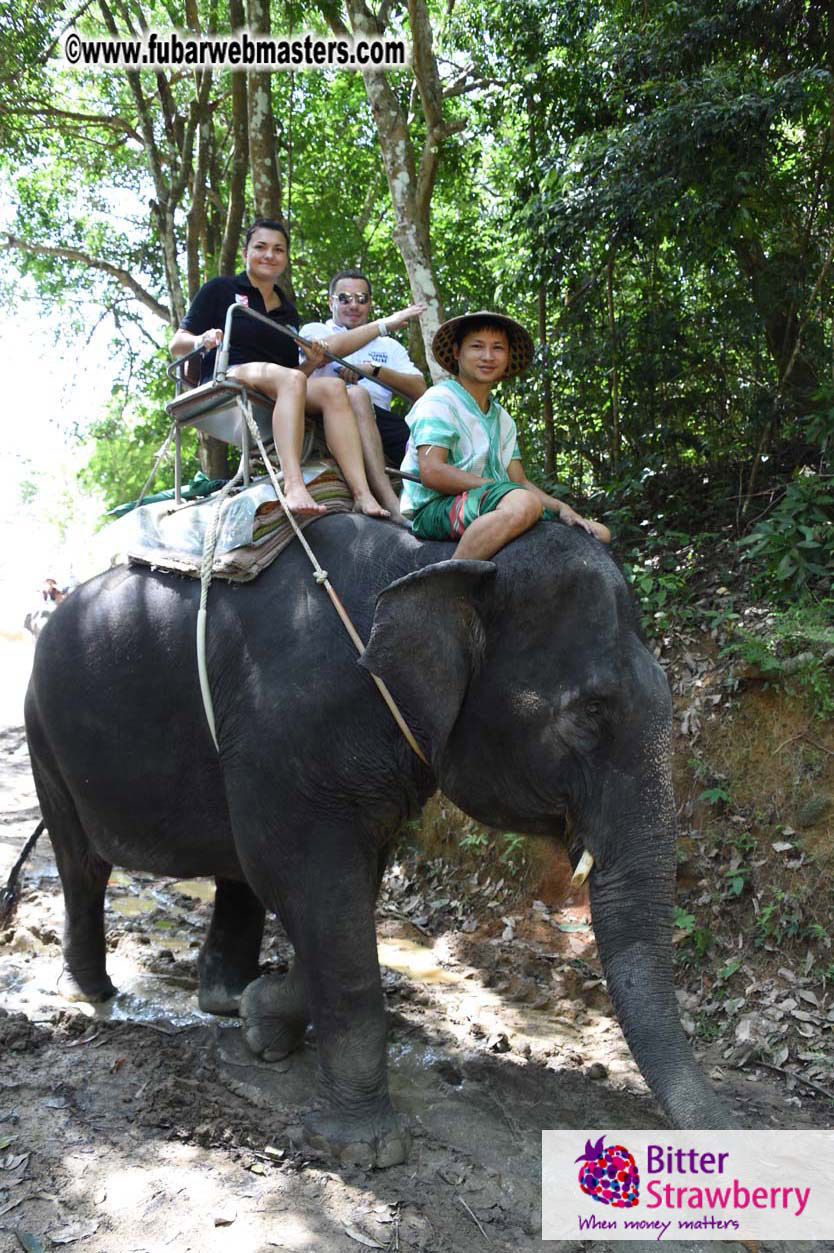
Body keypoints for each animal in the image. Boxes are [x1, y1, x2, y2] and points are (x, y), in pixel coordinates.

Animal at [24, 512, 734, 1168]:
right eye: (590, 713)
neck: (433, 559)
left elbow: (340, 890)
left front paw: (263, 1024)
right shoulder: (286, 732)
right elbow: (304, 881)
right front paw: (364, 1150)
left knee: (231, 872)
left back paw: (223, 1000)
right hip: (43, 734)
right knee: (82, 865)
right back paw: (91, 994)